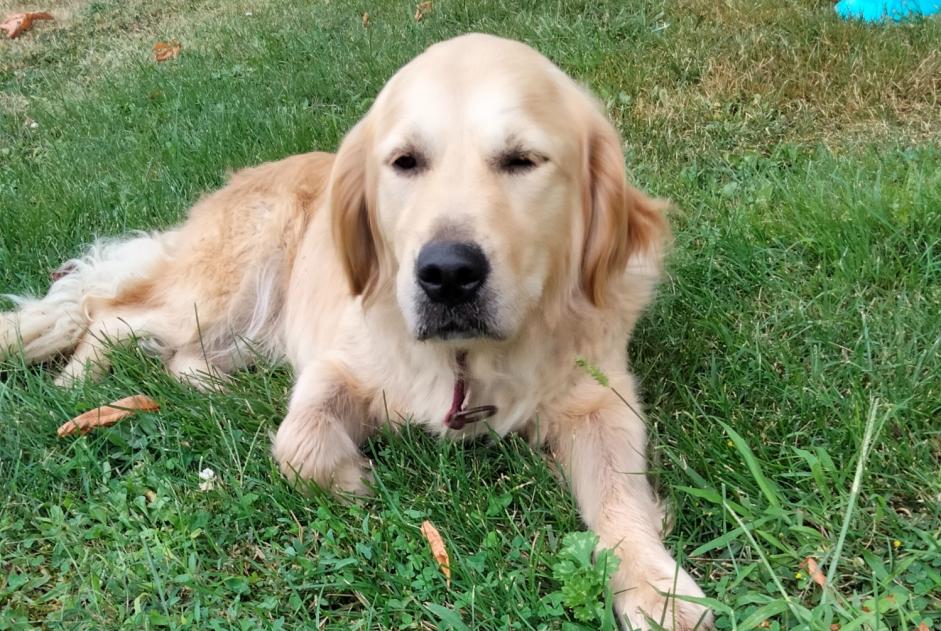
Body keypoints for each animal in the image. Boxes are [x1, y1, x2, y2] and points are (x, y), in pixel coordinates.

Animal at [1, 35, 712, 631]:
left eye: (522, 160)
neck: (468, 360)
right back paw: (76, 383)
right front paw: (353, 479)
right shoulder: (340, 364)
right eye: (405, 162)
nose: (446, 274)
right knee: (110, 312)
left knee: (180, 358)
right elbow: (298, 444)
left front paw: (658, 589)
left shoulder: (601, 400)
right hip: (225, 284)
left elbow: (621, 498)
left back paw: (220, 393)